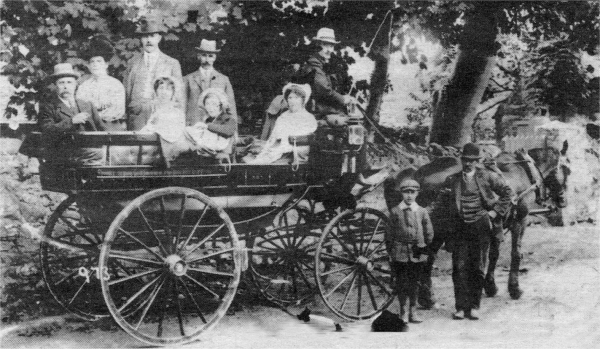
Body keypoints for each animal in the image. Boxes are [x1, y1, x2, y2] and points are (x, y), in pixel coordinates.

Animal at [406, 141, 568, 302]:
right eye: (567, 169)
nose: (563, 200)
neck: (525, 171)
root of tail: (420, 174)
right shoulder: (520, 220)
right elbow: (515, 253)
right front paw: (514, 288)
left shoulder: (496, 223)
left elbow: (494, 254)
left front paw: (490, 286)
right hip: (437, 231)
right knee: (428, 257)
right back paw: (426, 297)